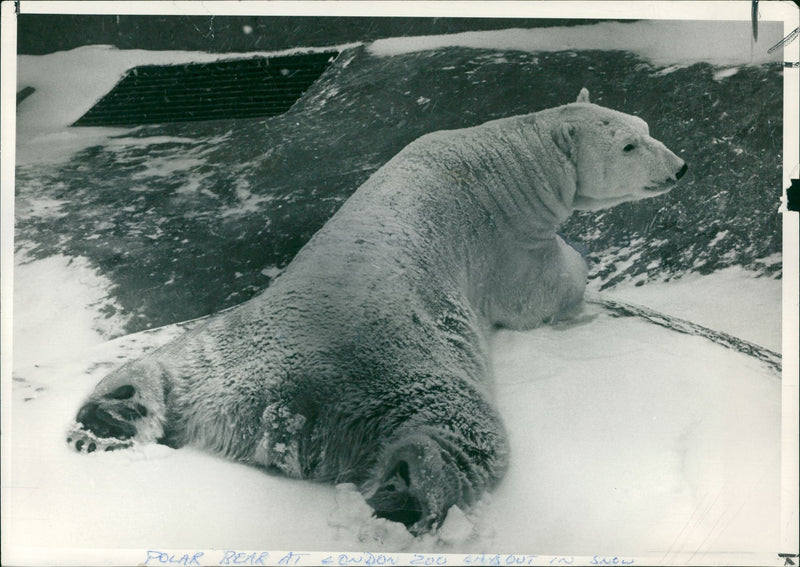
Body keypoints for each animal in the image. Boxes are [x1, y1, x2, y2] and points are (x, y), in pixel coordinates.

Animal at [70, 91, 688, 536]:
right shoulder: (503, 240)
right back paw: (408, 489)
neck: (507, 161)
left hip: (218, 348)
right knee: (459, 432)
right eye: (630, 145)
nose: (680, 167)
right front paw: (580, 288)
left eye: (646, 127)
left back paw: (110, 412)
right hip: (406, 362)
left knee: (160, 368)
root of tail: (277, 410)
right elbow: (537, 292)